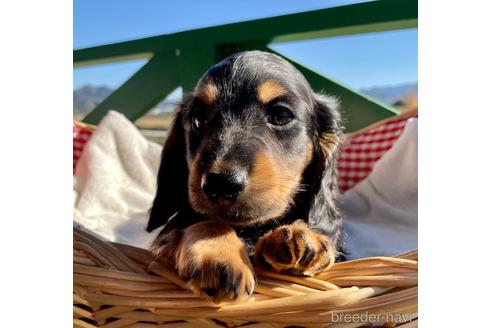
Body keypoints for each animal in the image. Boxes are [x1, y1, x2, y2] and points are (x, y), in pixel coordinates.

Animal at [148, 49, 344, 302]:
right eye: (199, 120)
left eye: (281, 114)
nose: (221, 184)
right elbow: (208, 220)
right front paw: (217, 253)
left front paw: (302, 237)